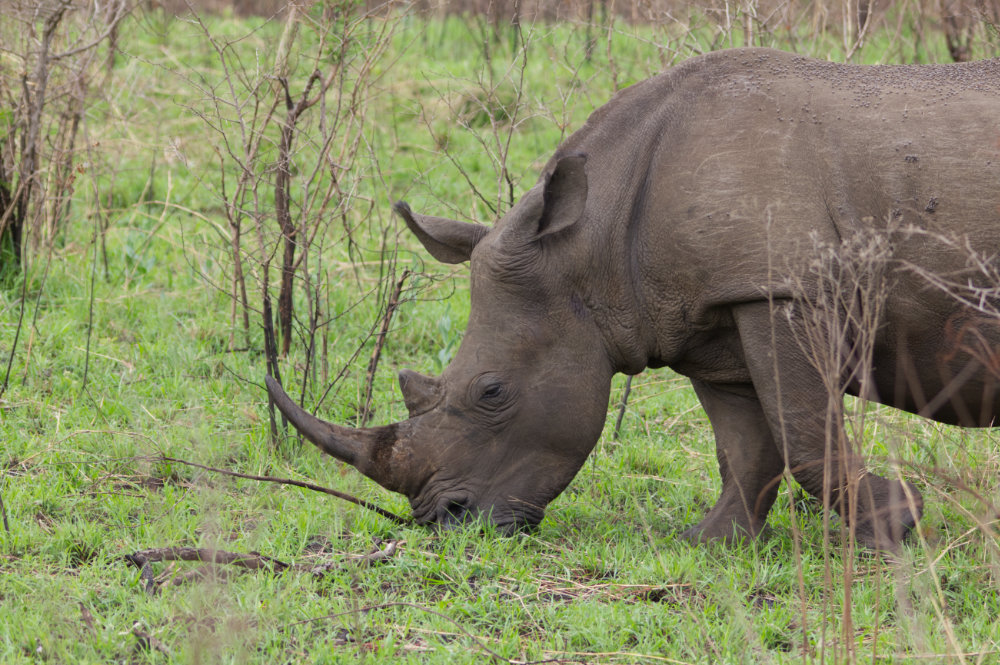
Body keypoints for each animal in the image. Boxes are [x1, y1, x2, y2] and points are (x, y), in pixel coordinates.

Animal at [266, 48, 1000, 550]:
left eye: (492, 391)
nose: (446, 522)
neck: (594, 242)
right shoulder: (712, 314)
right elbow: (747, 442)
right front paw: (711, 542)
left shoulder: (781, 289)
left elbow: (803, 431)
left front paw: (896, 525)